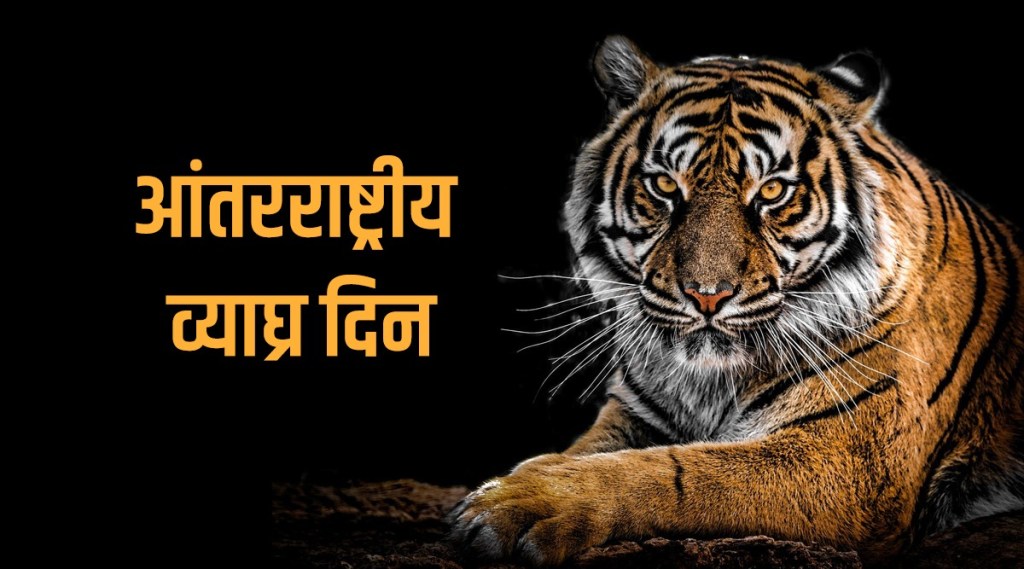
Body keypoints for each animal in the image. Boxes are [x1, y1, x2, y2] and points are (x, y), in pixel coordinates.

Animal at [448, 36, 1024, 566]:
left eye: (771, 192)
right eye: (664, 186)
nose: (708, 296)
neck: (709, 382)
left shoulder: (850, 459)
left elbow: (677, 472)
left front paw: (520, 502)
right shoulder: (634, 412)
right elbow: (586, 452)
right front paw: (518, 481)